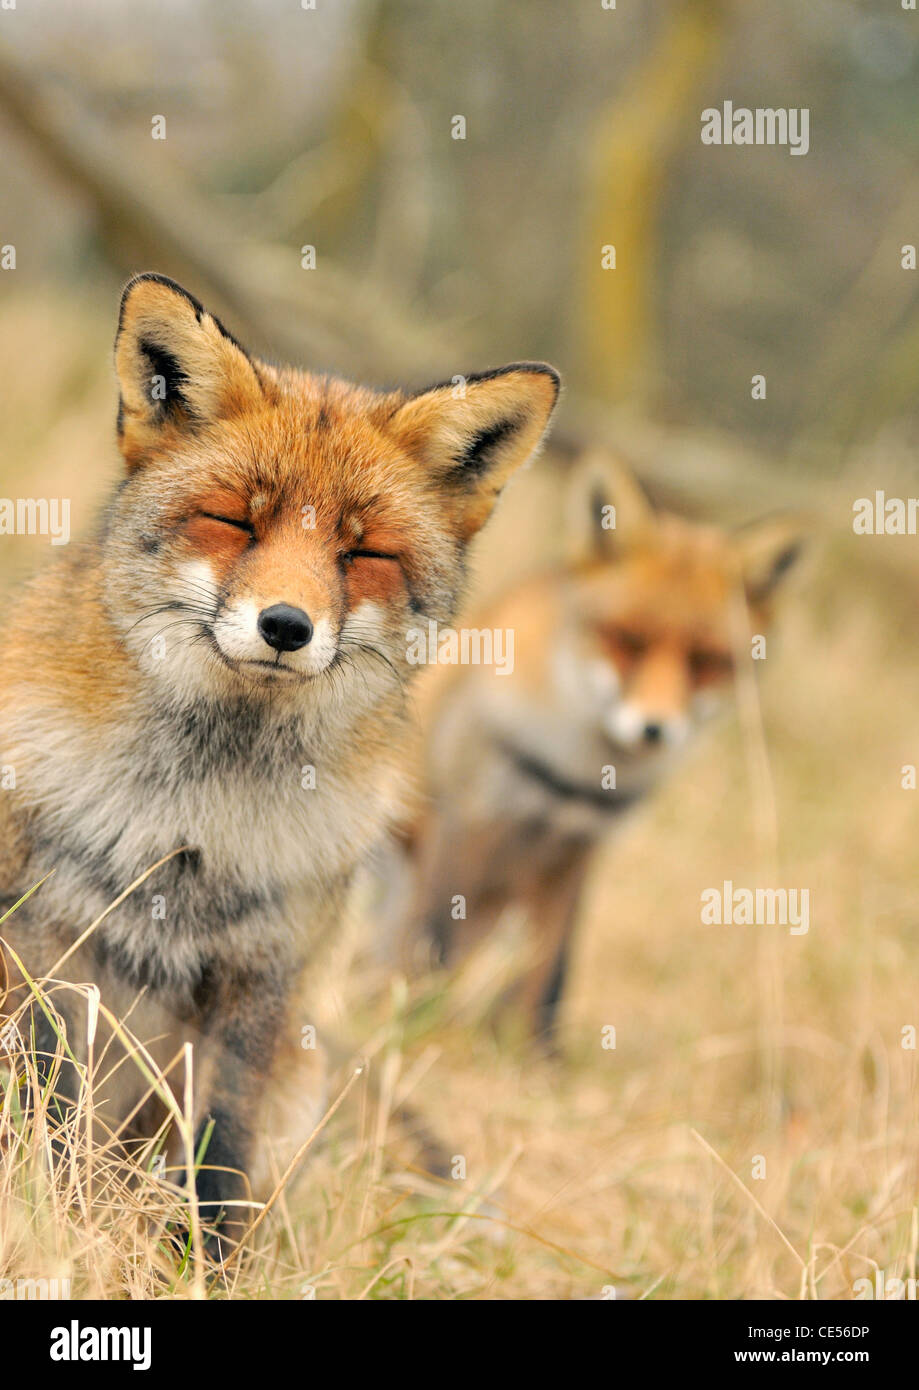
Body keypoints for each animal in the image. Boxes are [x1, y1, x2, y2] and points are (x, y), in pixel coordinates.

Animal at [0, 271, 558, 1251]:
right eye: (234, 521)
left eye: (361, 551)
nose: (286, 627)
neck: (196, 818)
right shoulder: (48, 942)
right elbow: (53, 1121)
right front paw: (55, 1229)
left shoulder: (263, 970)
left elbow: (220, 1153)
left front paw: (205, 1265)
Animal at [400, 447, 800, 1045]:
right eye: (626, 640)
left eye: (704, 661)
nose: (655, 729)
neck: (576, 772)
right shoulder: (467, 817)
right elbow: (432, 938)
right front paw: (407, 1024)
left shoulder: (577, 851)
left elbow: (550, 971)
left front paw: (533, 1052)